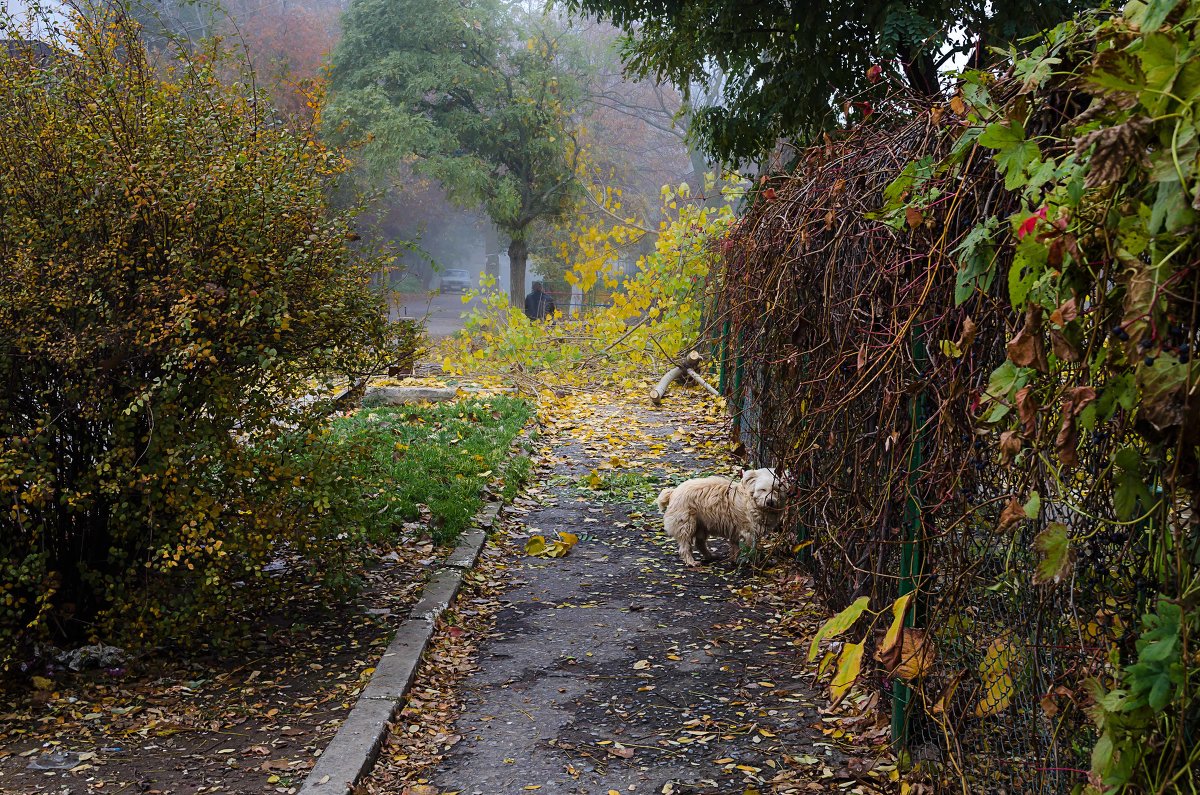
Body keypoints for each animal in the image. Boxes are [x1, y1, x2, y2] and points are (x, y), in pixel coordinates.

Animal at [657, 470, 787, 569]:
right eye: (763, 489)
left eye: (777, 489)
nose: (770, 502)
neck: (751, 500)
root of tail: (674, 491)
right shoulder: (748, 532)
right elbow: (751, 549)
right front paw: (757, 562)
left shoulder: (736, 531)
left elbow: (736, 547)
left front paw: (735, 560)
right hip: (686, 524)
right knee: (685, 546)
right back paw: (691, 561)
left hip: (702, 524)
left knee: (699, 542)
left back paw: (709, 556)